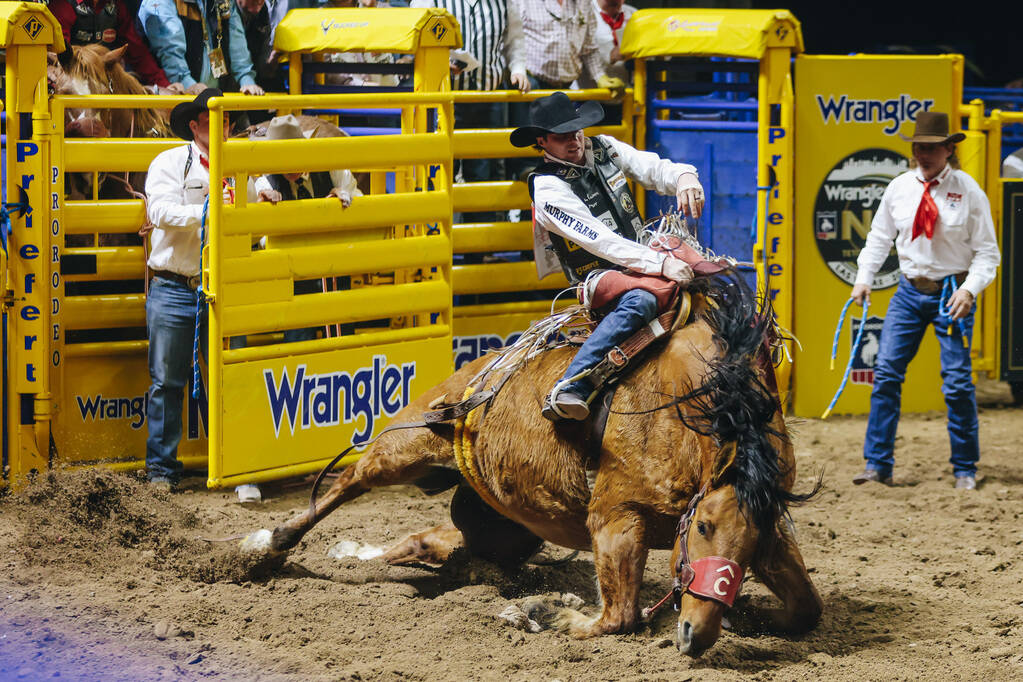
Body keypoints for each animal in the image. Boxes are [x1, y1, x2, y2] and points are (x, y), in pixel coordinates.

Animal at [249, 269, 822, 654]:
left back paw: (376, 556)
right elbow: (619, 617)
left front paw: (749, 612)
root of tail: (476, 372)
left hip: (503, 522)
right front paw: (545, 612)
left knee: (434, 542)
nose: (694, 636)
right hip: (406, 447)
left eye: (749, 545)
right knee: (349, 480)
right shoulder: (614, 517)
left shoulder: (772, 529)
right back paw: (269, 547)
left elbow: (807, 609)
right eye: (701, 527)